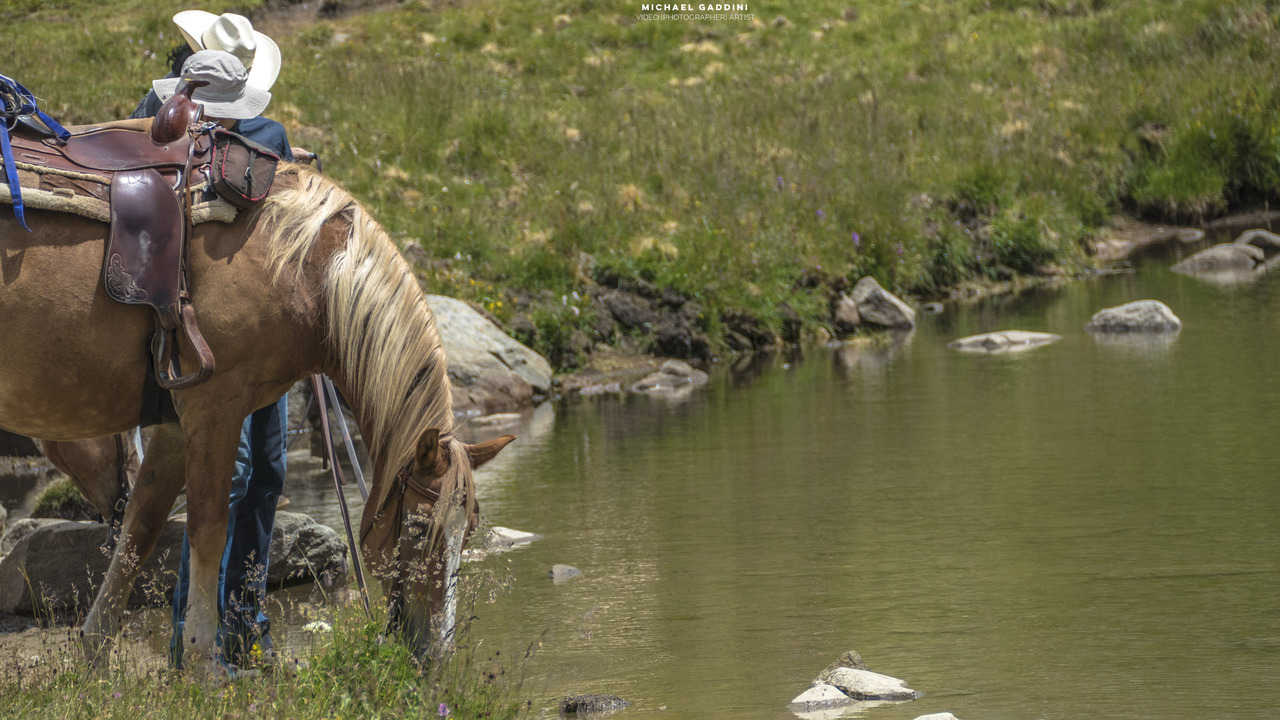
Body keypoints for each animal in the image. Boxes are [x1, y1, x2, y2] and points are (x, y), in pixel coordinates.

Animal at [0, 162, 509, 666]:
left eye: (469, 531)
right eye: (420, 527)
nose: (436, 651)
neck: (300, 268)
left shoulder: (175, 425)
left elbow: (140, 529)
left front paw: (95, 658)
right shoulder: (215, 407)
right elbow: (208, 532)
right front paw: (203, 664)